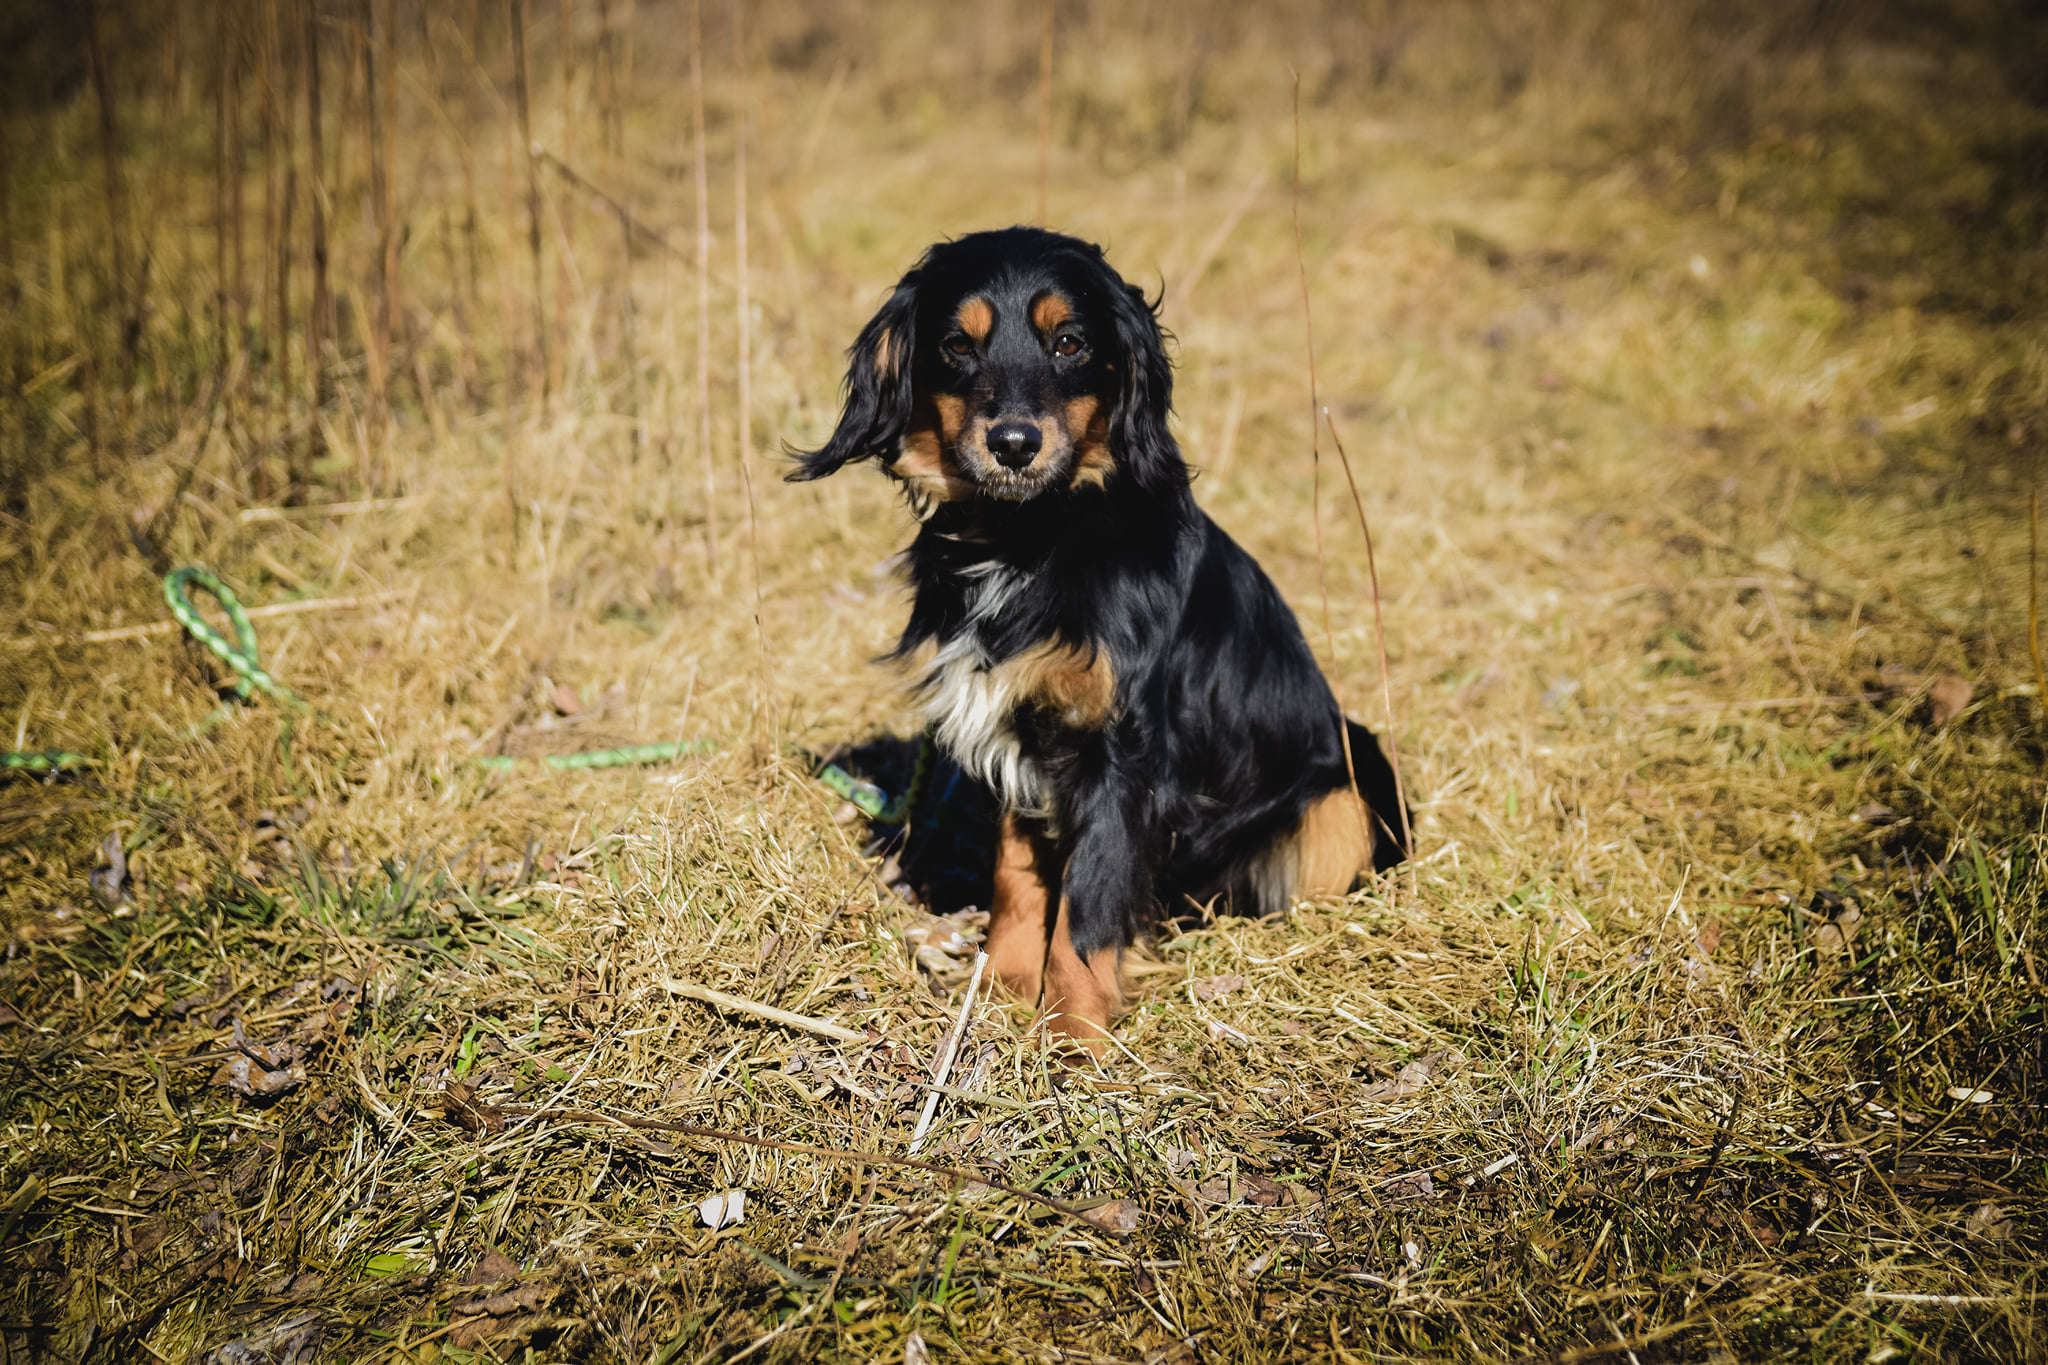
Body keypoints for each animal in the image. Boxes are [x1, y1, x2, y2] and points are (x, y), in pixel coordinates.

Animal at [790, 227, 1408, 1051]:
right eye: (956, 345)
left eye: (1070, 342)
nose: (1013, 442)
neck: (1030, 538)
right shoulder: (1013, 727)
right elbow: (1017, 877)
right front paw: (1004, 990)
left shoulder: (1122, 752)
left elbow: (1088, 907)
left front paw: (1074, 1040)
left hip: (1345, 793)